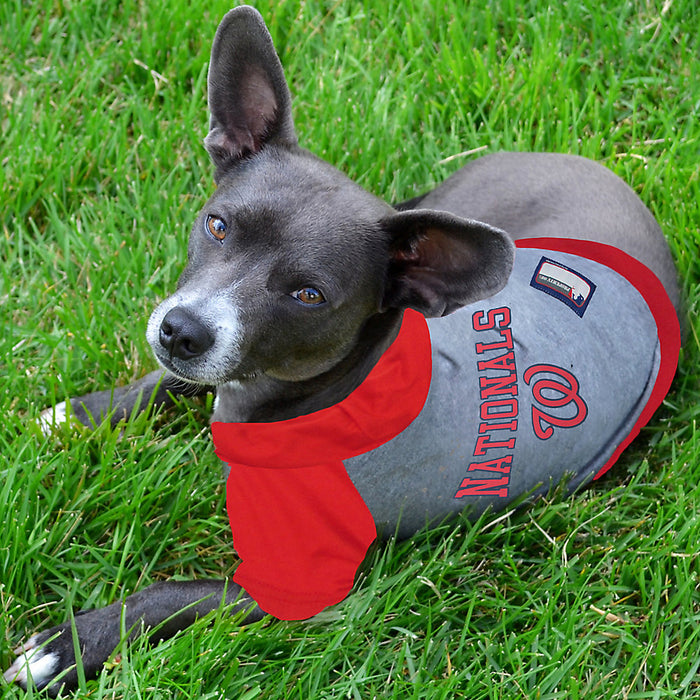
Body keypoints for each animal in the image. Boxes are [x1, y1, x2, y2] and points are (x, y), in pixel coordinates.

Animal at [2, 5, 680, 696]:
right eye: (218, 225)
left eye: (309, 295)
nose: (180, 330)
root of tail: (590, 164)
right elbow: (169, 380)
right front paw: (81, 414)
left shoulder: (284, 588)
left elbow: (170, 595)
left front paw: (65, 647)